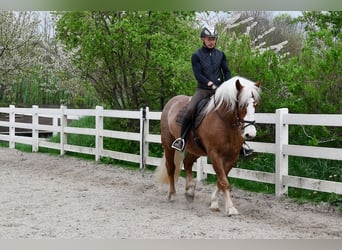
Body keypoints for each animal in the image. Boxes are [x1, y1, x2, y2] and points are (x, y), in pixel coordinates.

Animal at [155, 75, 262, 216]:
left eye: (255, 105)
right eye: (242, 105)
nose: (250, 134)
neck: (226, 122)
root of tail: (172, 101)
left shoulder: (232, 157)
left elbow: (221, 179)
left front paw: (214, 202)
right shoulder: (214, 154)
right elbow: (223, 181)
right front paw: (231, 208)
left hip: (195, 149)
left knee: (187, 163)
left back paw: (190, 191)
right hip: (168, 144)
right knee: (171, 167)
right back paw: (172, 194)